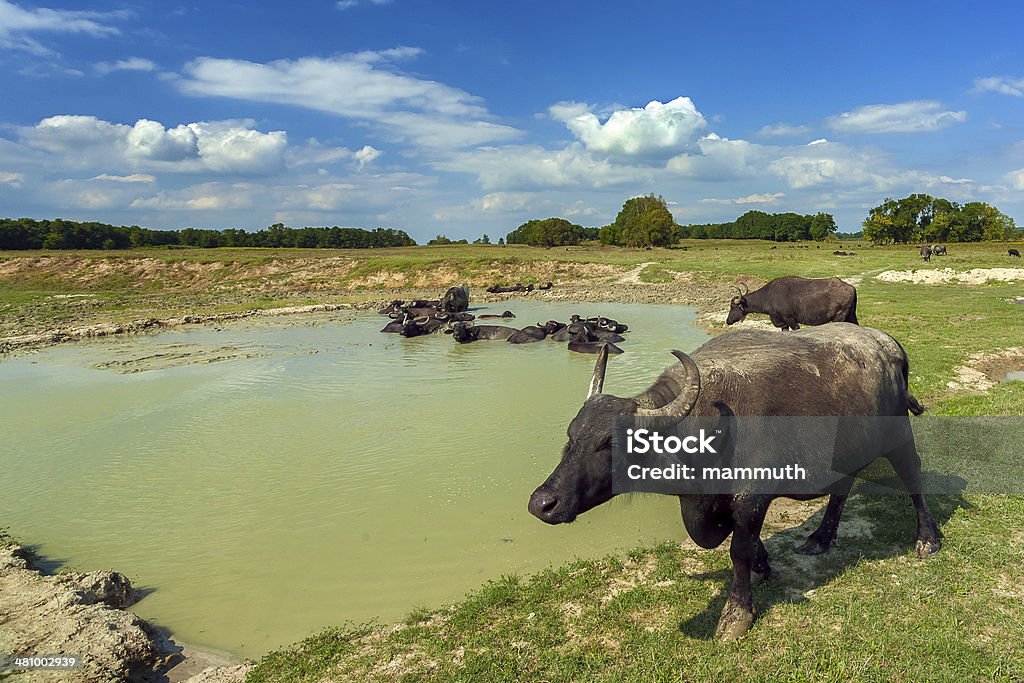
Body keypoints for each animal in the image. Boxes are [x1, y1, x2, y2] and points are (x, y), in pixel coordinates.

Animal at [532, 325, 937, 643]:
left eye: (610, 443)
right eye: (572, 436)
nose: (542, 502)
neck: (705, 428)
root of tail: (891, 347)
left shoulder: (752, 496)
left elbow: (738, 550)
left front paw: (736, 615)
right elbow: (743, 544)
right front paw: (764, 563)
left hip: (898, 434)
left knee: (912, 476)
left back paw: (927, 538)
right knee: (841, 489)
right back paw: (821, 538)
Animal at [724, 276, 860, 331]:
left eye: (733, 307)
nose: (728, 321)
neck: (769, 296)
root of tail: (851, 287)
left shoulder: (791, 319)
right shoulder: (783, 324)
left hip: (839, 317)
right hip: (851, 316)